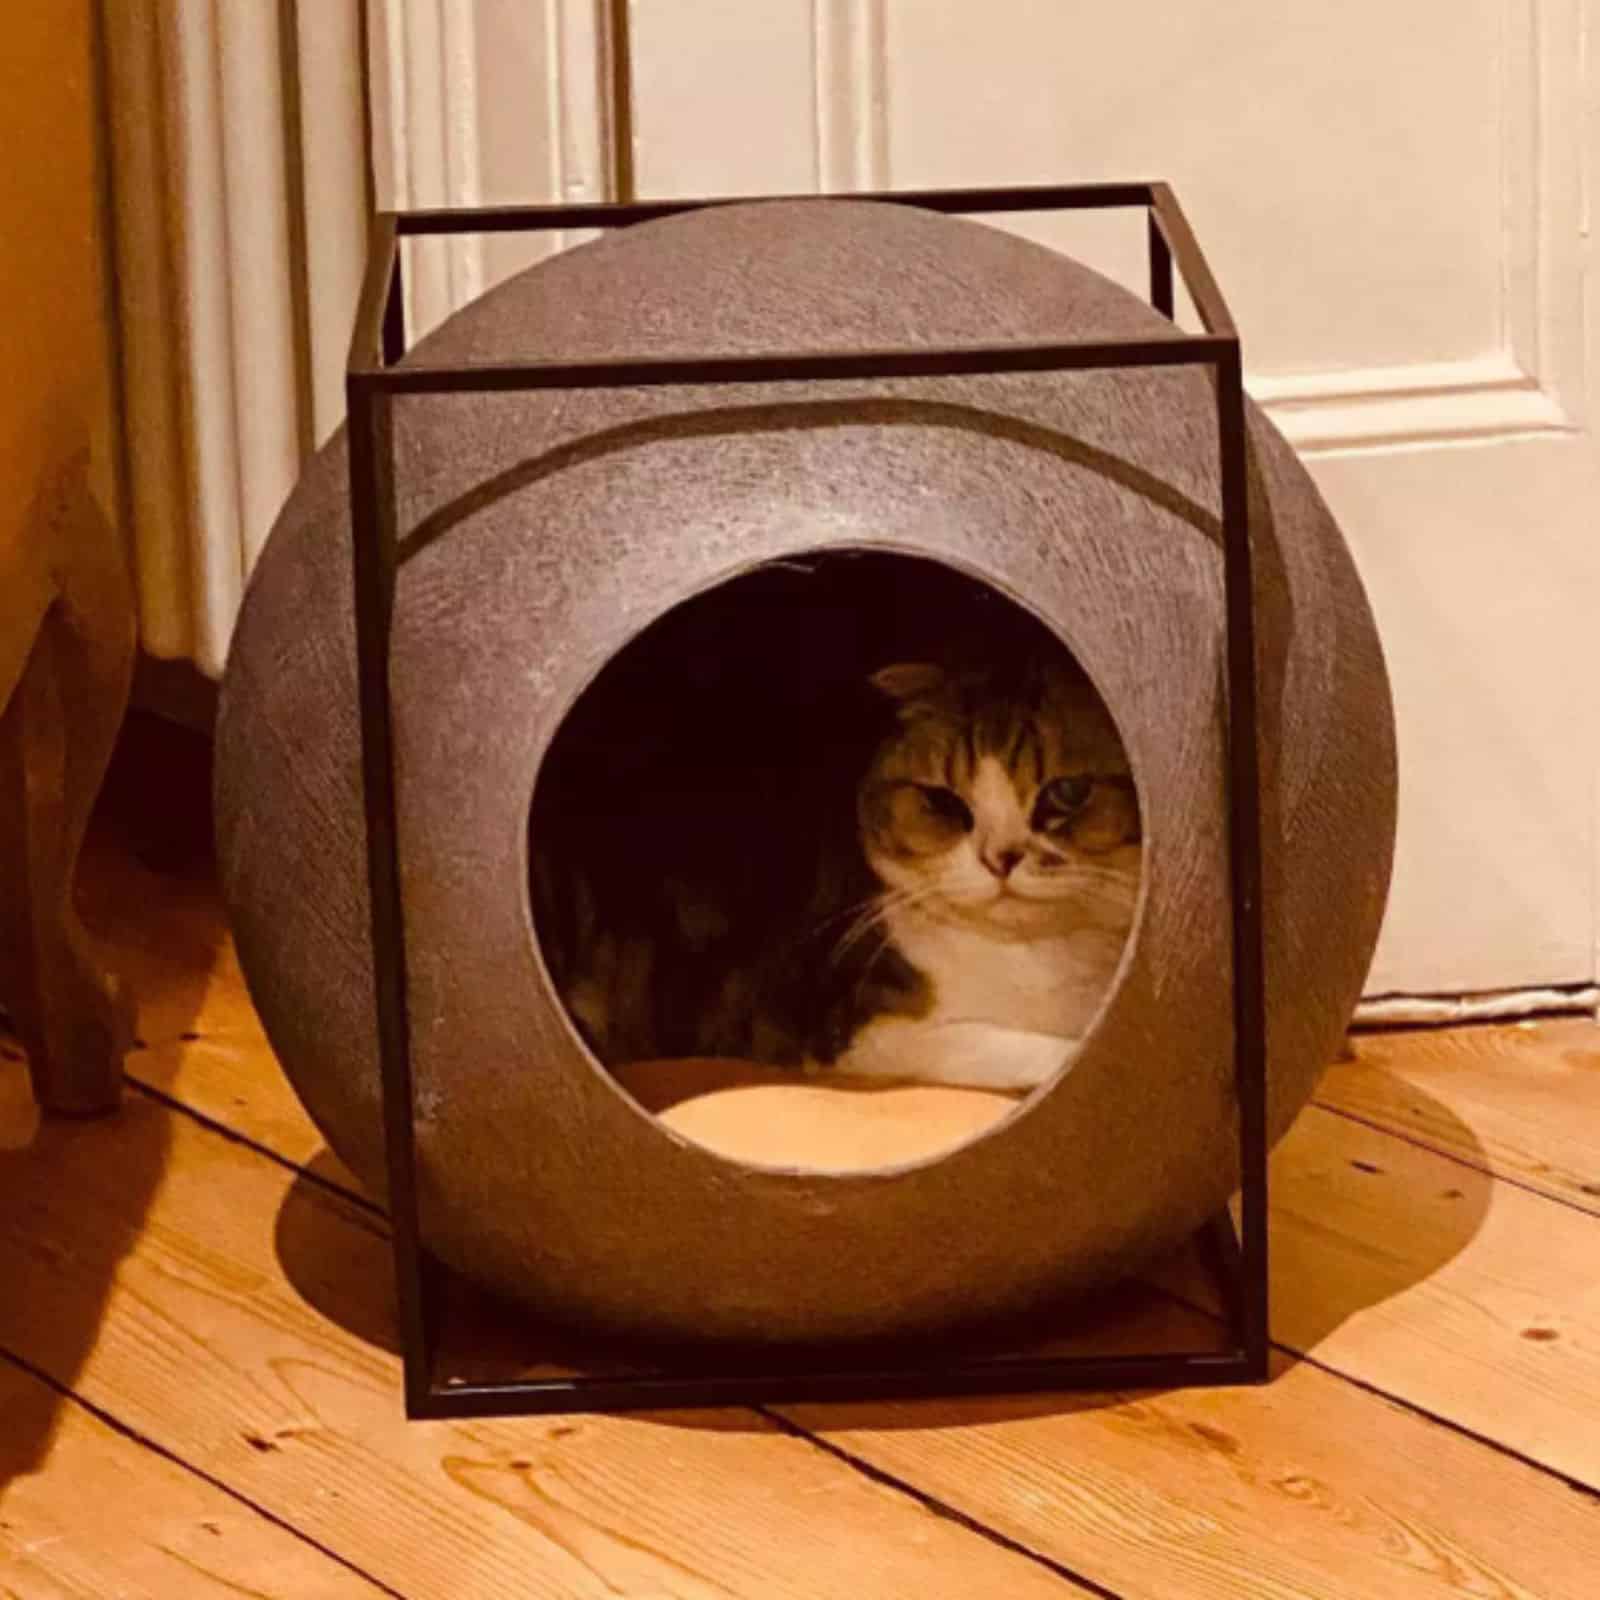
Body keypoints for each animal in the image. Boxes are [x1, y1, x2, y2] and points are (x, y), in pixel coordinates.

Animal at [531, 643, 1145, 1094]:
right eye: (946, 803)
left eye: (1067, 792)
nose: (1002, 858)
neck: (1030, 962)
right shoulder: (845, 1030)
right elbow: (1002, 1044)